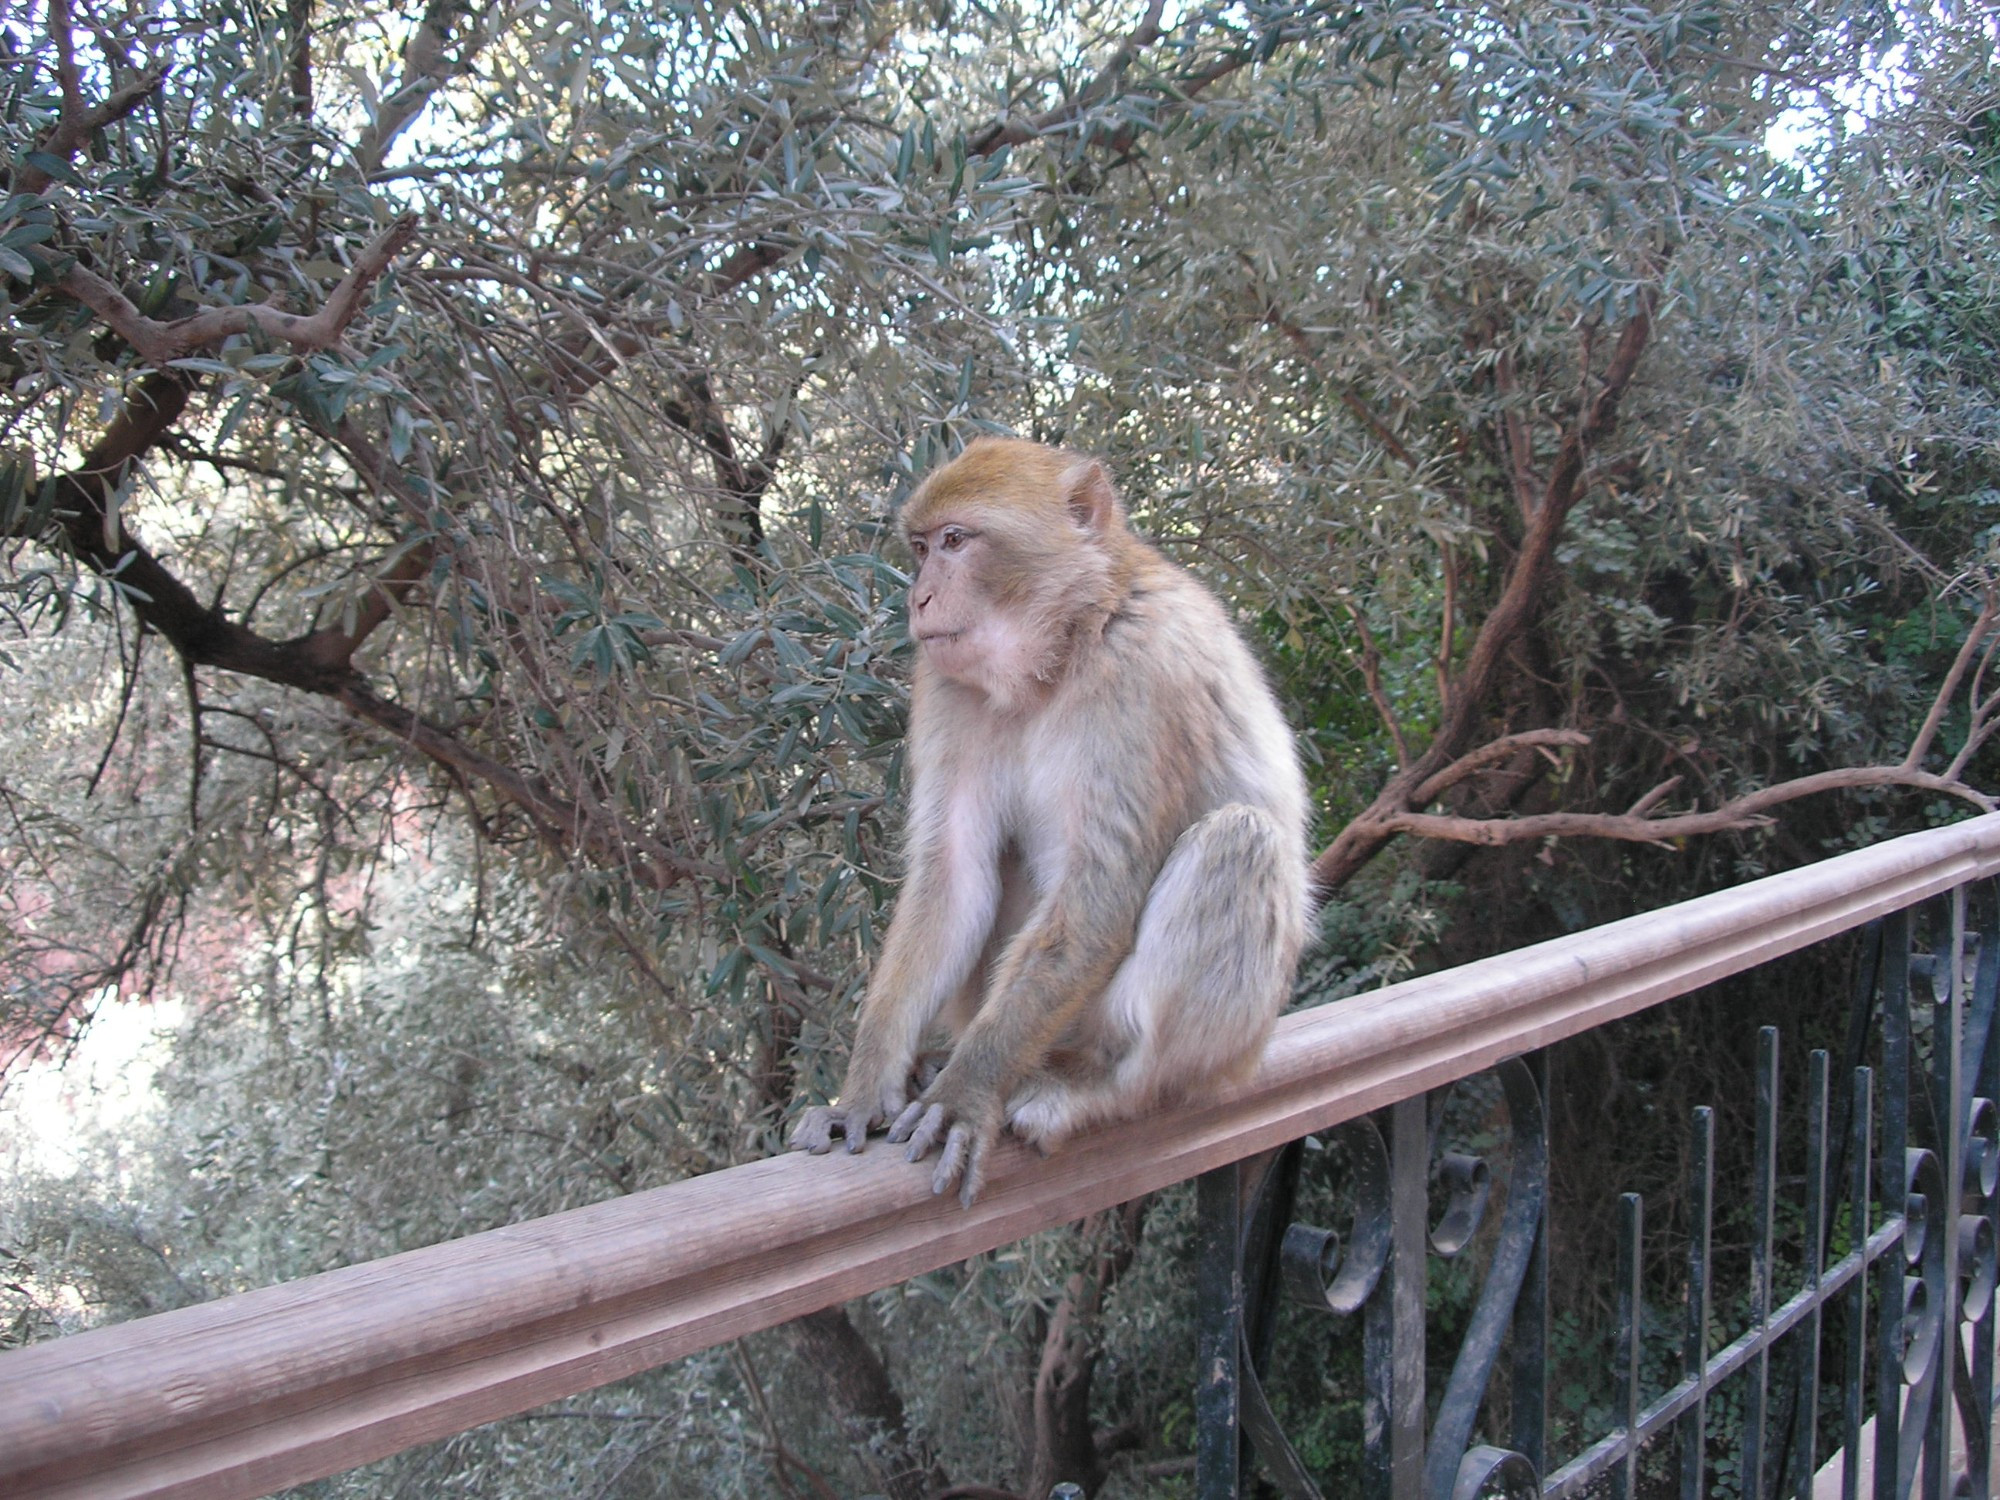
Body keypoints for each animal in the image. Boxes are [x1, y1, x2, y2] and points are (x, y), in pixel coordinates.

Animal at [788, 438, 1320, 1208]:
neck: (1065, 646)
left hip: (1217, 1042)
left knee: (1240, 838)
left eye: (956, 542)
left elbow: (1098, 897)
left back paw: (1101, 1087)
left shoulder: (1144, 673)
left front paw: (967, 1091)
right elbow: (953, 875)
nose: (917, 598)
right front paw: (862, 1093)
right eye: (920, 547)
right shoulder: (945, 685)